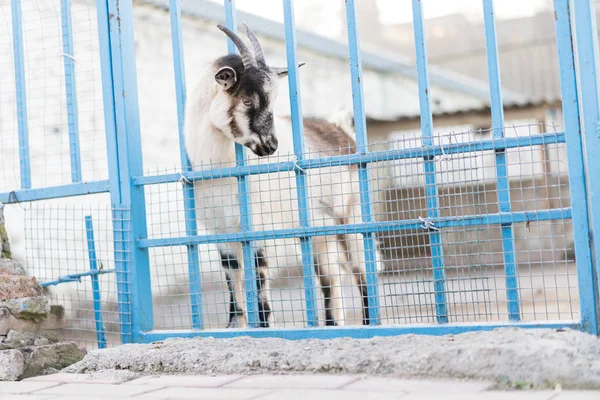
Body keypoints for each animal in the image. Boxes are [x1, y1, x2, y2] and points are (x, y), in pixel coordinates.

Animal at [183, 24, 382, 328]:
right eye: (247, 99)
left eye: (274, 100)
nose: (271, 146)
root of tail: (340, 129)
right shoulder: (222, 233)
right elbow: (233, 284)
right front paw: (235, 327)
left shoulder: (260, 229)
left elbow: (259, 283)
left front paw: (265, 327)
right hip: (321, 232)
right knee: (330, 279)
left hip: (351, 216)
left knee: (361, 269)